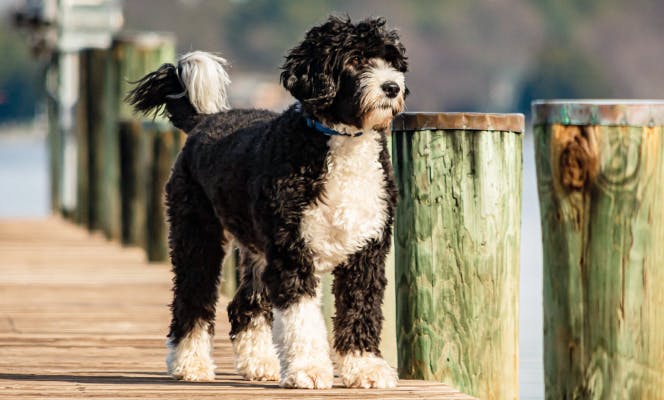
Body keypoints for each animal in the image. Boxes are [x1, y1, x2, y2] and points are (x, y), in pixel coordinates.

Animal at [126, 16, 408, 390]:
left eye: (392, 60)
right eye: (356, 59)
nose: (392, 87)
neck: (338, 141)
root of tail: (205, 121)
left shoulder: (366, 250)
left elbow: (360, 307)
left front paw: (365, 368)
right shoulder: (292, 252)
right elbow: (302, 318)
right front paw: (309, 369)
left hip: (256, 251)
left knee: (244, 305)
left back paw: (259, 363)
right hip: (197, 235)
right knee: (192, 297)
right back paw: (190, 363)